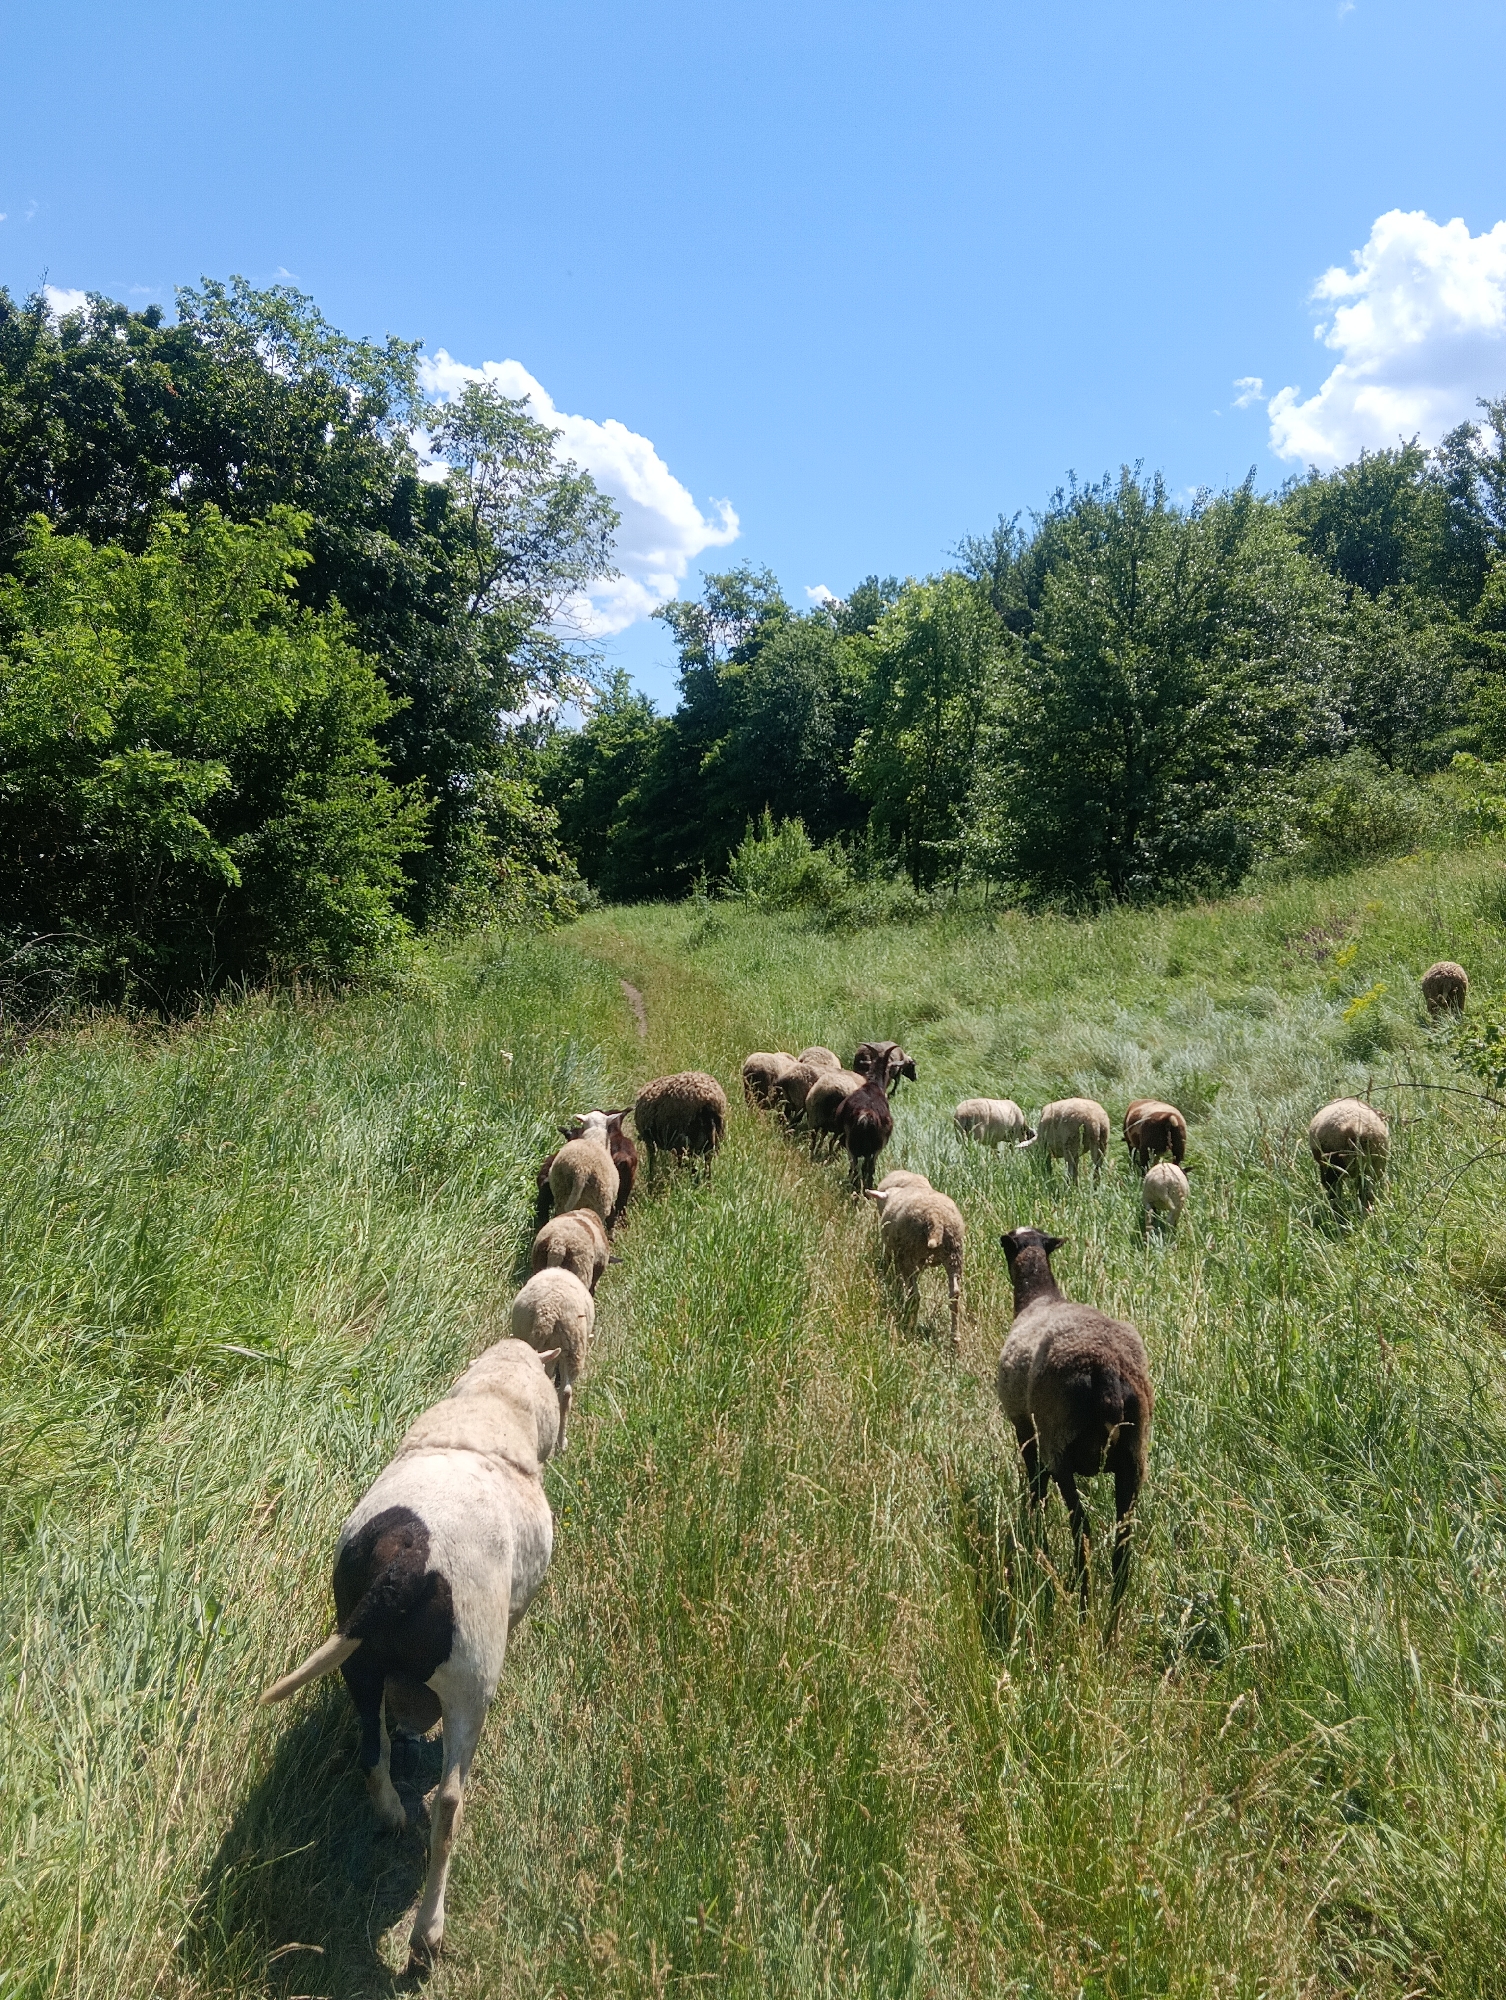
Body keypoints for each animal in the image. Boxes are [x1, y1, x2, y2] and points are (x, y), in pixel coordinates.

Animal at [259, 1338, 560, 1973]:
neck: (485, 1415)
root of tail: (405, 1561)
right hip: (470, 1687)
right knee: (448, 1806)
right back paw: (427, 1933)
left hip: (358, 1663)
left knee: (371, 1752)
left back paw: (392, 1813)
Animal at [864, 1180, 965, 1348]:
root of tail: (935, 1220)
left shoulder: (896, 1257)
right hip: (954, 1254)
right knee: (954, 1295)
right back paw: (955, 1339)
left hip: (910, 1253)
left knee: (915, 1295)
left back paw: (910, 1327)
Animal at [996, 1227, 1153, 1611]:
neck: (1039, 1297)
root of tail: (1106, 1373)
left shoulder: (1024, 1425)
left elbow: (1035, 1483)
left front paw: (1033, 1529)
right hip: (1134, 1455)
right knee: (1123, 1542)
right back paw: (1112, 1613)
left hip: (1061, 1447)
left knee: (1081, 1528)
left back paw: (1082, 1602)